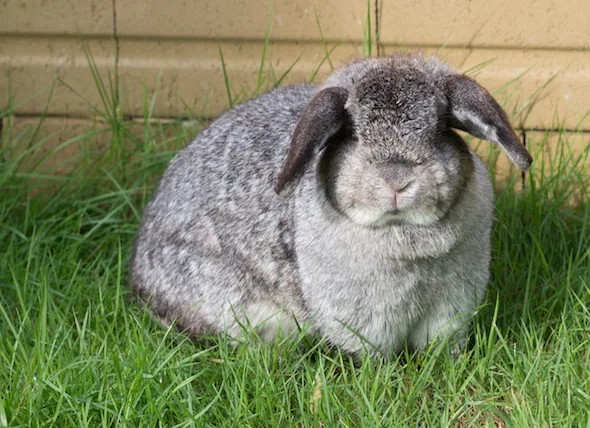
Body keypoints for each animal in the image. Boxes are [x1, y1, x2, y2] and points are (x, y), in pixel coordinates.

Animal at [131, 51, 536, 356]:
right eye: (352, 134)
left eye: (439, 129)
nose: (396, 180)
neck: (403, 233)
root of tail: (139, 279)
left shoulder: (451, 308)